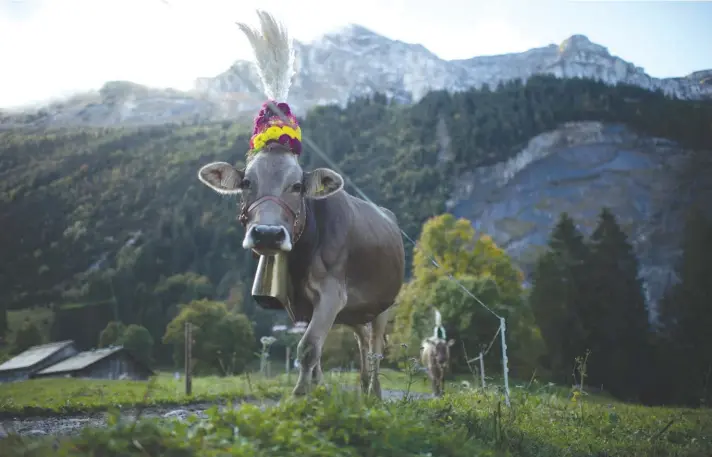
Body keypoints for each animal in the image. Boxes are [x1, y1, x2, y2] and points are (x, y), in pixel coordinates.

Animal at [196, 8, 406, 398]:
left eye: (297, 185)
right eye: (246, 182)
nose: (266, 233)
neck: (303, 255)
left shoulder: (332, 293)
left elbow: (308, 347)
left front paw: (298, 396)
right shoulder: (308, 305)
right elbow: (315, 351)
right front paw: (315, 391)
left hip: (383, 304)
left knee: (374, 349)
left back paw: (375, 394)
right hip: (357, 309)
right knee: (361, 342)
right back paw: (363, 390)